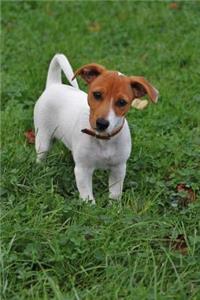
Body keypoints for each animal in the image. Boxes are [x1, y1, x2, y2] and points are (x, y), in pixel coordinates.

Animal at [34, 54, 159, 204]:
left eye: (122, 102)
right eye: (97, 94)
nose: (102, 123)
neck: (103, 139)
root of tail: (54, 84)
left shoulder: (119, 168)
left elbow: (115, 194)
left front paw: (114, 207)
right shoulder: (83, 170)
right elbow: (87, 197)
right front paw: (91, 207)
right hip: (43, 138)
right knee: (41, 155)